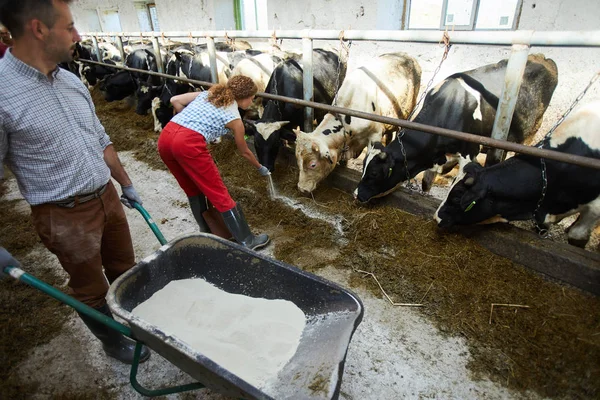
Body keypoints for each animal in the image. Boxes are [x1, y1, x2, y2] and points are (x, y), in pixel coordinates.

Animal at [296, 52, 422, 194]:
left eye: (313, 164)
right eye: (298, 161)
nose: (301, 188)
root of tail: (406, 55)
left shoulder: (375, 135)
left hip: (407, 113)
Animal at [356, 53, 556, 205]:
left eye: (374, 173)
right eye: (364, 167)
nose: (356, 195)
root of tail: (543, 58)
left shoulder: (470, 150)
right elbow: (427, 183)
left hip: (530, 131)